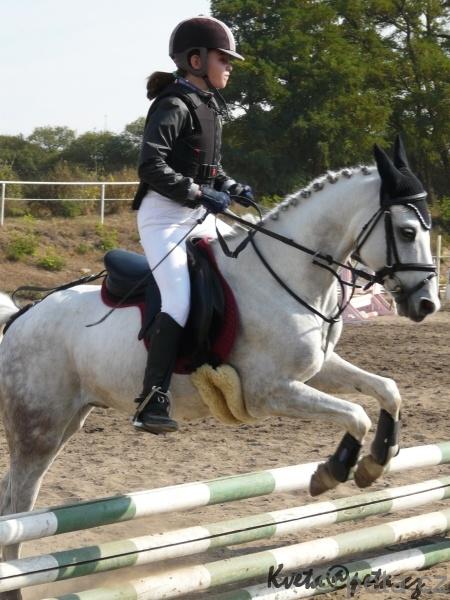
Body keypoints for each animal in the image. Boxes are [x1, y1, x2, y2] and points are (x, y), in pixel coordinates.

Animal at [0, 138, 439, 598]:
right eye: (408, 232)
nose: (427, 304)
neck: (285, 275)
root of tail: (22, 315)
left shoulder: (316, 370)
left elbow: (388, 389)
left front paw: (377, 461)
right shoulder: (271, 392)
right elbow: (356, 414)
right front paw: (331, 473)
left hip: (68, 420)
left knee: (14, 494)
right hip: (38, 426)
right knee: (19, 504)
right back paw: (16, 584)